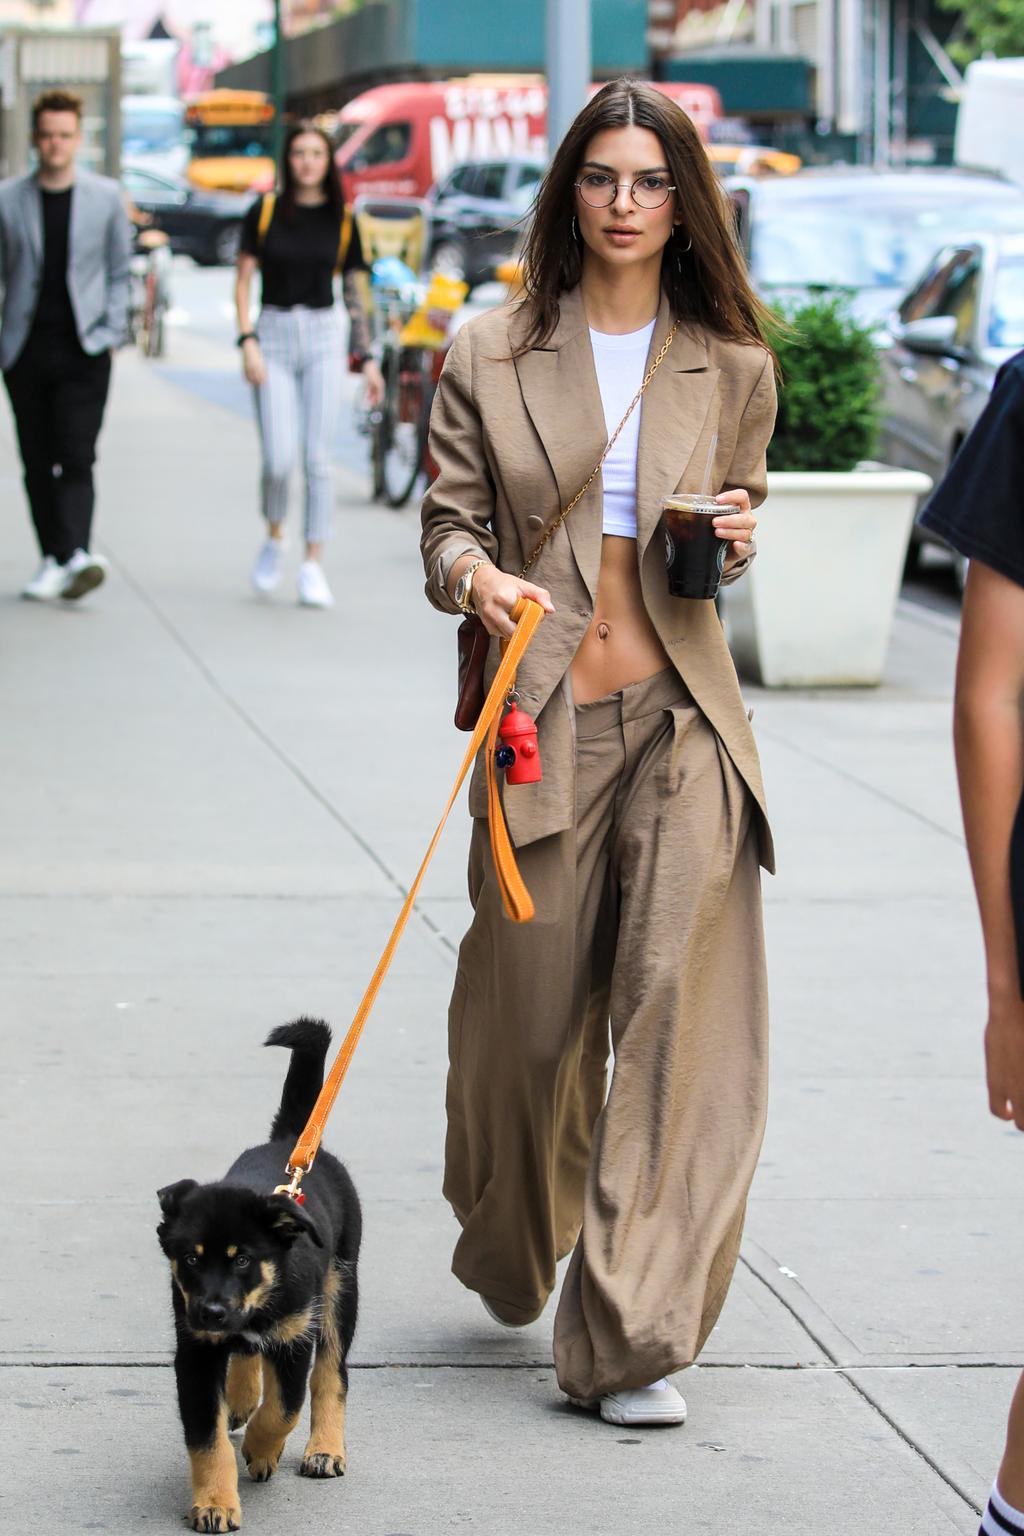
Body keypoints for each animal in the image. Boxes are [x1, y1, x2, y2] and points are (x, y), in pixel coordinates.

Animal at [154, 1013, 359, 1529]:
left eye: (243, 1258)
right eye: (191, 1258)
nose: (210, 1312)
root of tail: (291, 1141)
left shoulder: (295, 1337)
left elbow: (284, 1408)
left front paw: (261, 1451)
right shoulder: (195, 1352)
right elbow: (206, 1440)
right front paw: (214, 1504)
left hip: (340, 1288)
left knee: (331, 1373)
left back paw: (325, 1449)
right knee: (249, 1355)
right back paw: (243, 1397)